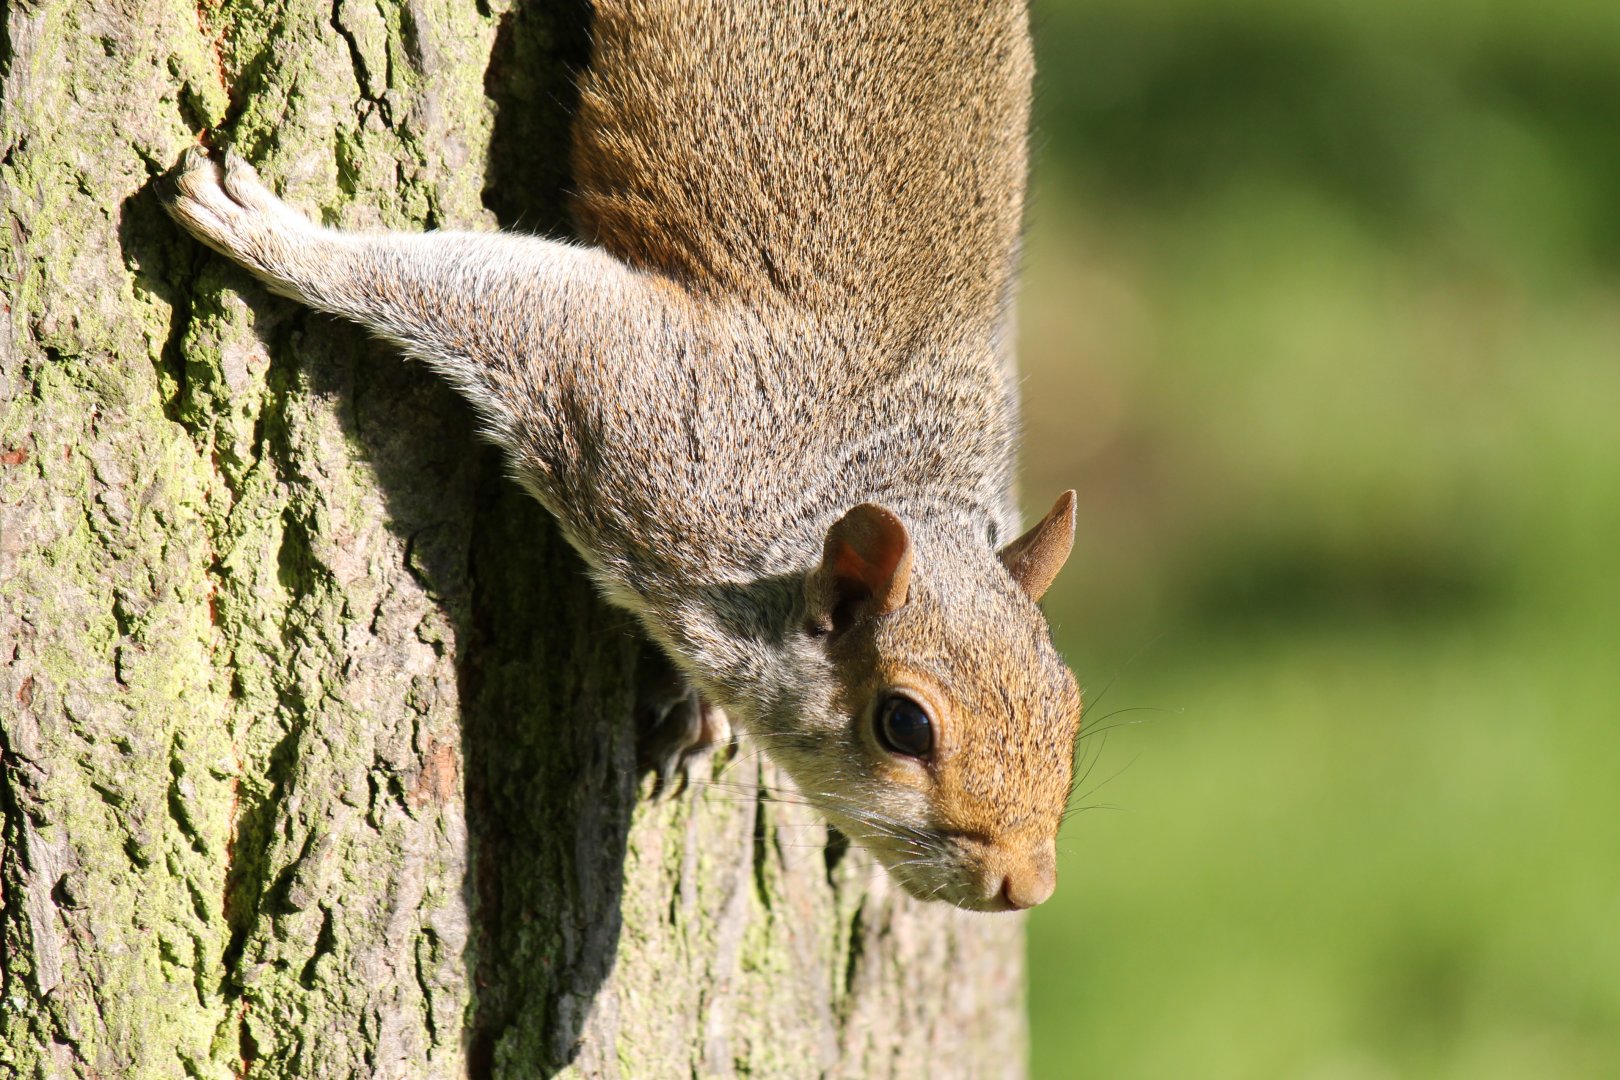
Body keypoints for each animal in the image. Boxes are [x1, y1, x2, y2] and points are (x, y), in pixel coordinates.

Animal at [162, 0, 1082, 913]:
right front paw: (280, 237)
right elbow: (502, 298)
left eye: (1070, 706)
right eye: (904, 724)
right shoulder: (652, 412)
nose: (1026, 885)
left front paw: (694, 711)